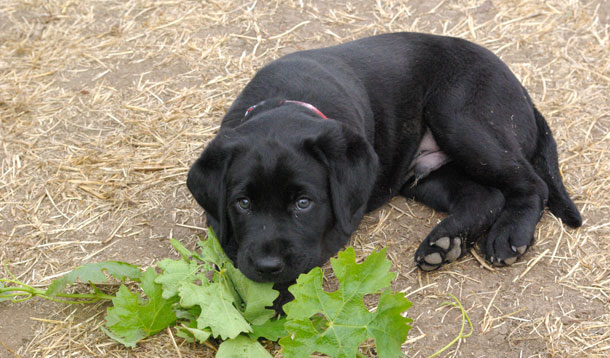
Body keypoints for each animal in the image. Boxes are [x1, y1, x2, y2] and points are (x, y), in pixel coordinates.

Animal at [186, 32, 580, 286]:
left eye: (303, 203)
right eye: (243, 203)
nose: (267, 265)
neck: (286, 100)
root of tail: (522, 91)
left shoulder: (339, 222)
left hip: (461, 118)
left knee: (533, 184)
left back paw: (509, 236)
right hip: (423, 174)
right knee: (485, 196)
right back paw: (444, 245)